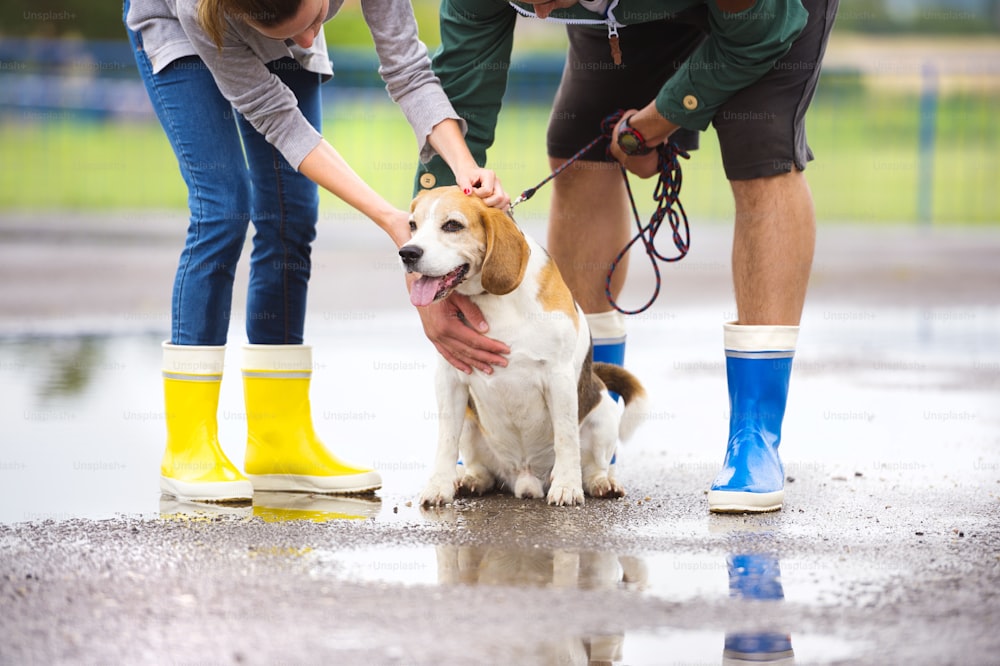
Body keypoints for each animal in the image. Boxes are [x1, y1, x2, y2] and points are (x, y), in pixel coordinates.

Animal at [400, 184, 648, 506]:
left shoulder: (559, 378)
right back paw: (471, 479)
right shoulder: (449, 379)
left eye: (453, 225)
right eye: (412, 225)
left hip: (603, 413)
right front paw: (439, 486)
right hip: (469, 420)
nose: (407, 253)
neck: (494, 301)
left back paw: (600, 482)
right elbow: (446, 442)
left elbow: (566, 438)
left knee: (594, 464)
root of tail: (525, 479)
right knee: (482, 467)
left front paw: (567, 487)